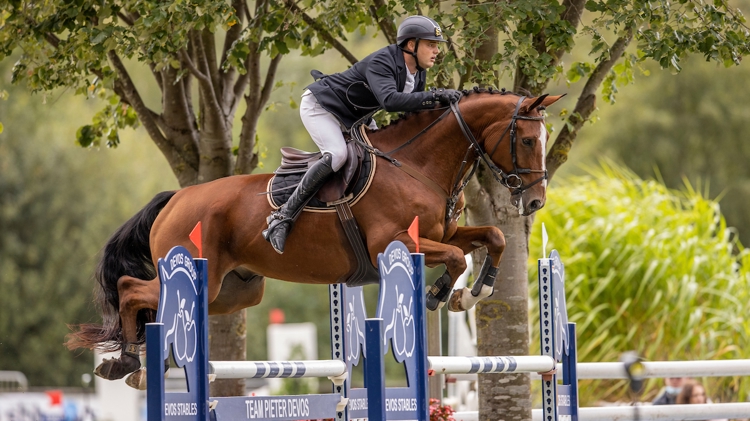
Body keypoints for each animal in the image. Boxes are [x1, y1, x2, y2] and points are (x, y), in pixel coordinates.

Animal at [67, 87, 560, 382]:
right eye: (527, 140)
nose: (537, 201)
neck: (417, 165)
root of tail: (176, 199)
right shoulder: (394, 244)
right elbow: (457, 258)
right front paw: (440, 295)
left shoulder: (448, 232)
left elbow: (493, 237)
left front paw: (472, 295)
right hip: (195, 271)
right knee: (130, 288)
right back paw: (128, 359)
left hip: (233, 292)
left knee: (155, 301)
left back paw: (137, 362)